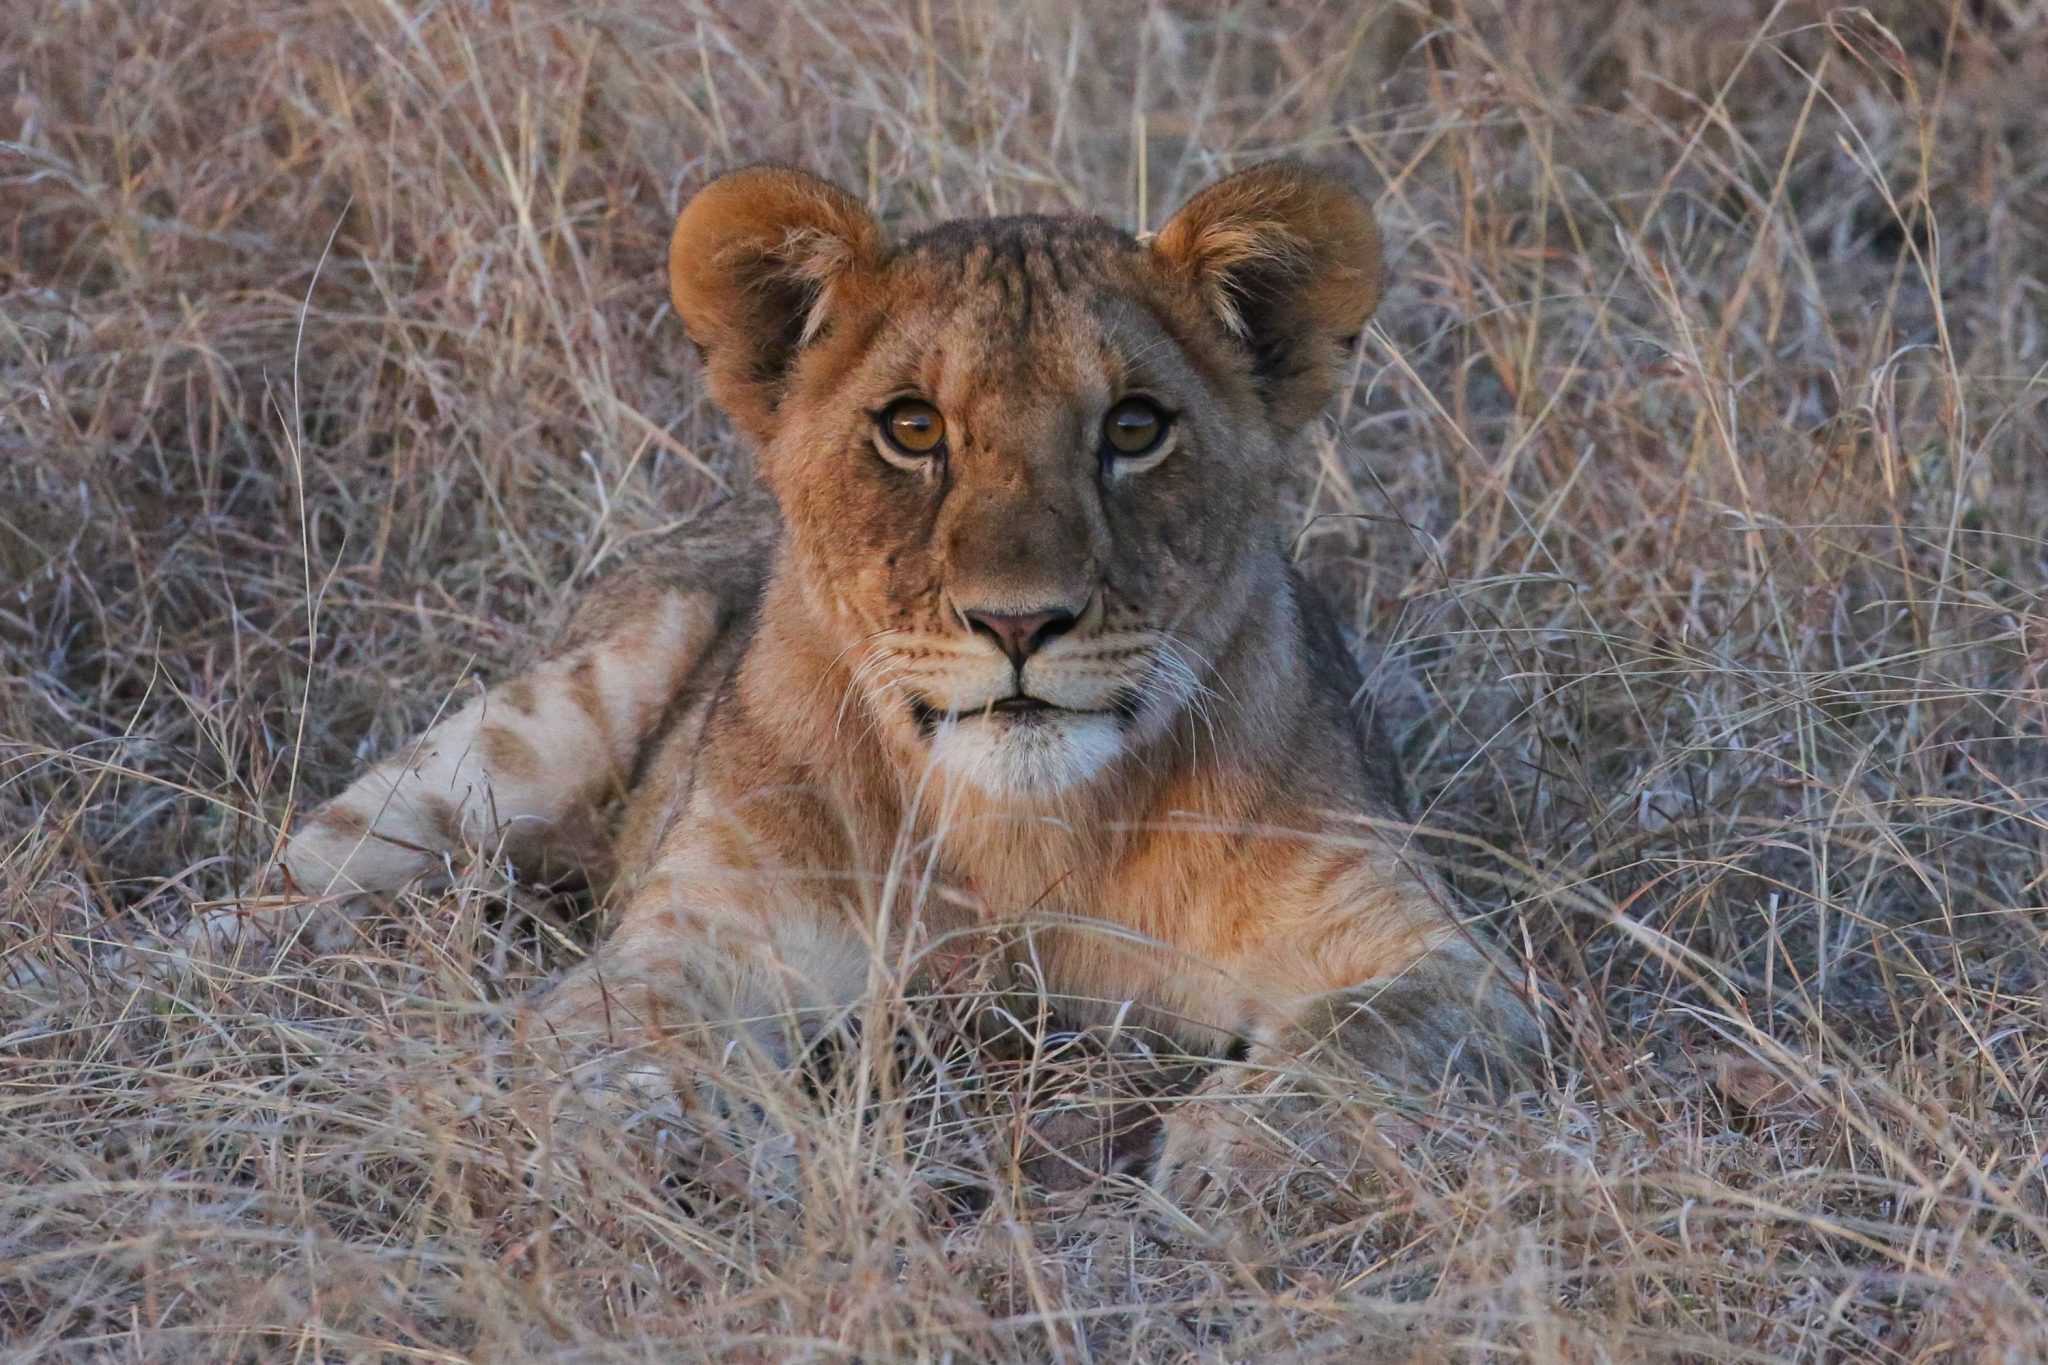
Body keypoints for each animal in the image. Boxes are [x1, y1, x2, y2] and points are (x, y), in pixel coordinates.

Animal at [218, 162, 1539, 1195]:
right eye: (911, 430)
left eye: (1133, 428)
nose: (1019, 621)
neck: (1020, 835)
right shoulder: (700, 928)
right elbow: (626, 1028)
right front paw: (654, 1144)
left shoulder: (1428, 952)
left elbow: (1360, 1040)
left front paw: (1241, 1160)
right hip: (541, 724)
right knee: (292, 878)